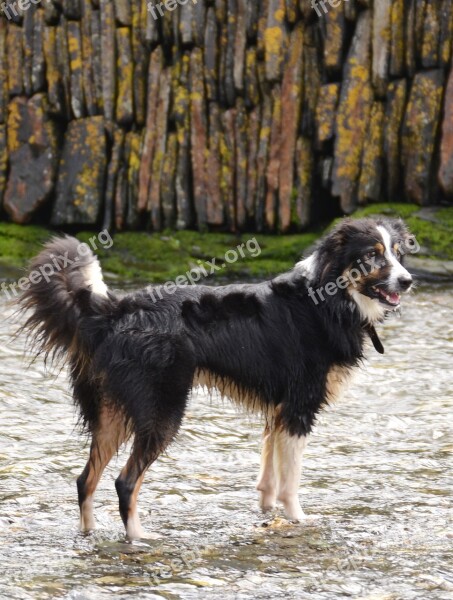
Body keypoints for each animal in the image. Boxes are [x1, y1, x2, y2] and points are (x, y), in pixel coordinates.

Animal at [21, 217, 414, 540]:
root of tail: (113, 310)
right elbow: (290, 481)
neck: (329, 298)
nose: (408, 281)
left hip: (111, 412)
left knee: (85, 479)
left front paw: (267, 514)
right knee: (125, 481)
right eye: (372, 256)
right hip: (162, 411)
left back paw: (89, 534)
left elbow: (269, 477)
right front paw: (299, 520)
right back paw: (140, 538)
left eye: (398, 253)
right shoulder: (299, 408)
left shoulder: (277, 411)